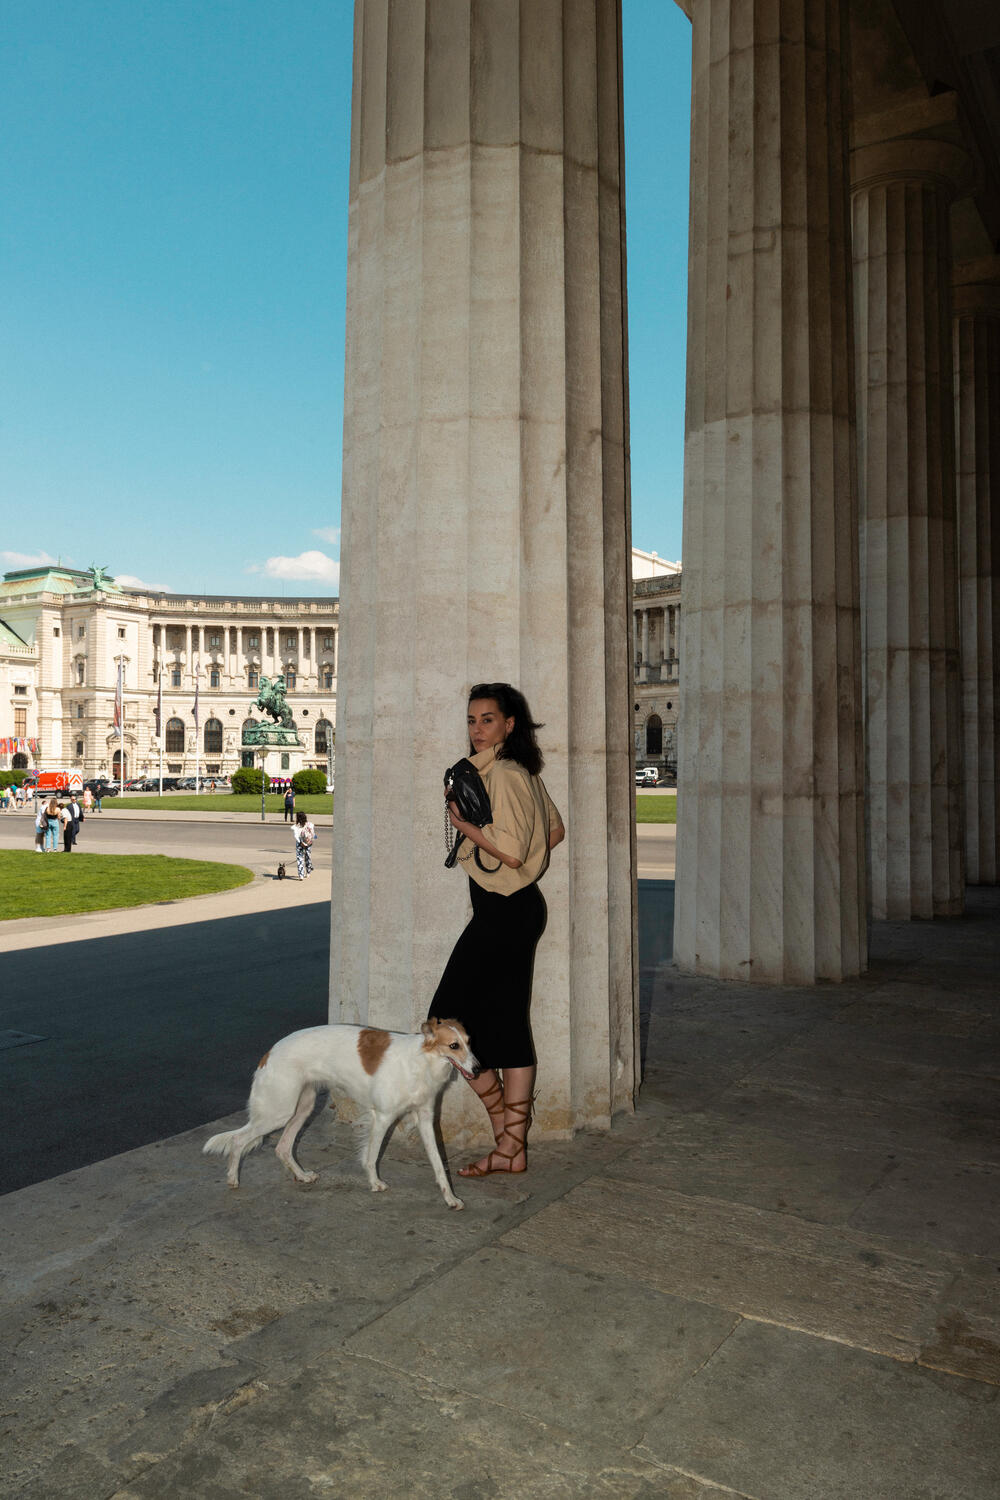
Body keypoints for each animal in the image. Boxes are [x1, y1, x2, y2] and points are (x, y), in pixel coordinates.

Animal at [202, 1014, 476, 1212]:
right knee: (239, 1139)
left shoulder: (426, 1119)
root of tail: (270, 1052)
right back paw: (233, 1179)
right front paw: (375, 1183)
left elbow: (439, 1165)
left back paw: (302, 1176)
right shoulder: (383, 1117)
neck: (421, 1062)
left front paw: (451, 1199)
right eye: (453, 1046)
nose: (477, 1068)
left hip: (303, 1107)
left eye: (469, 1042)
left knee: (282, 1147)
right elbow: (371, 1156)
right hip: (279, 1111)